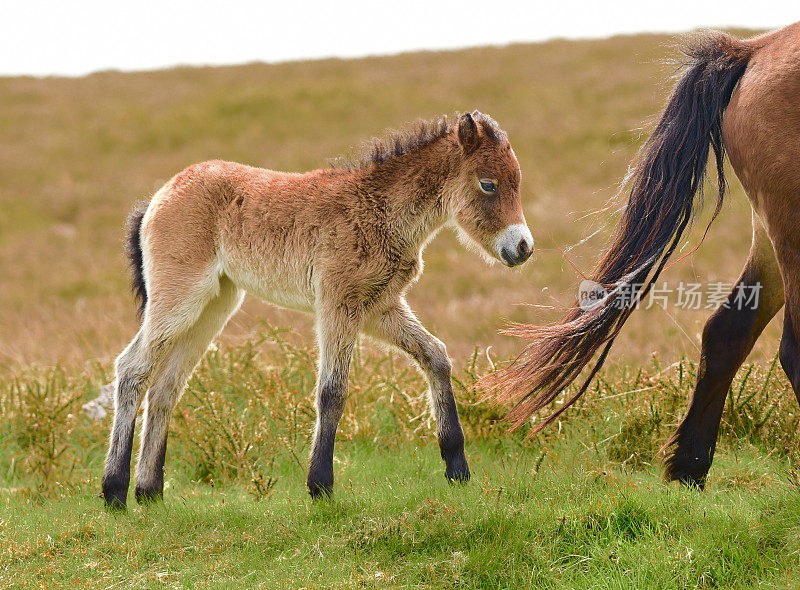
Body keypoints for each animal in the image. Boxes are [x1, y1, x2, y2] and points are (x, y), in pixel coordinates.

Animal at [103, 111, 536, 508]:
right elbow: (332, 389)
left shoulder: (379, 307)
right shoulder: (336, 303)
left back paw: (149, 491)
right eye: (488, 184)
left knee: (166, 386)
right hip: (179, 297)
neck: (381, 211)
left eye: (518, 180)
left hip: (214, 306)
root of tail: (158, 197)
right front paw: (320, 484)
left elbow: (436, 356)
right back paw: (114, 491)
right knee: (133, 369)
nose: (523, 247)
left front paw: (457, 467)